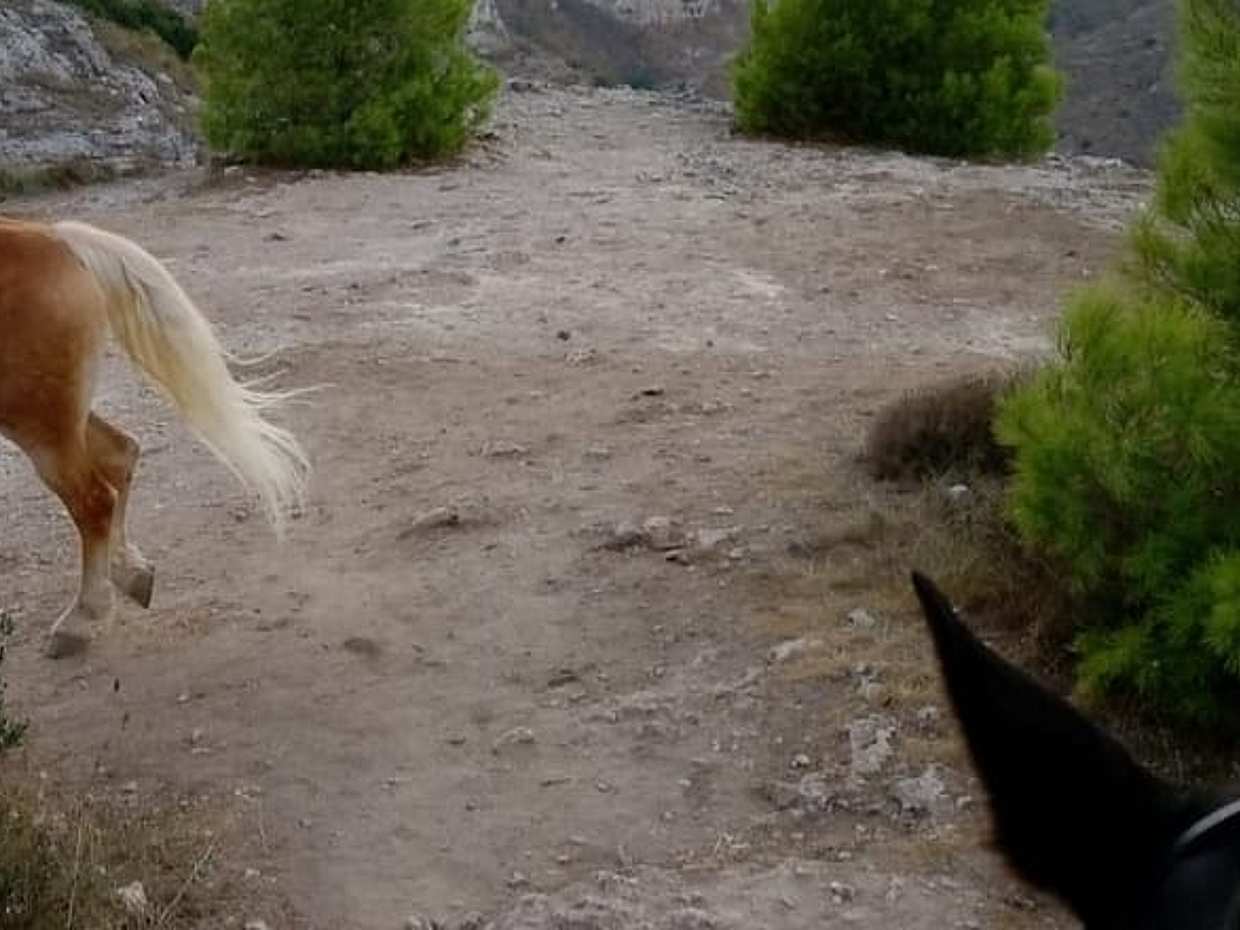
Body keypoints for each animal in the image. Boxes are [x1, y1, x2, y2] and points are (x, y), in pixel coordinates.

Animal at [0, 218, 310, 658]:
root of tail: (59, 239)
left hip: (40, 425)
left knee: (95, 500)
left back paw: (84, 617)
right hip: (58, 418)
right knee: (120, 455)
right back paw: (131, 573)